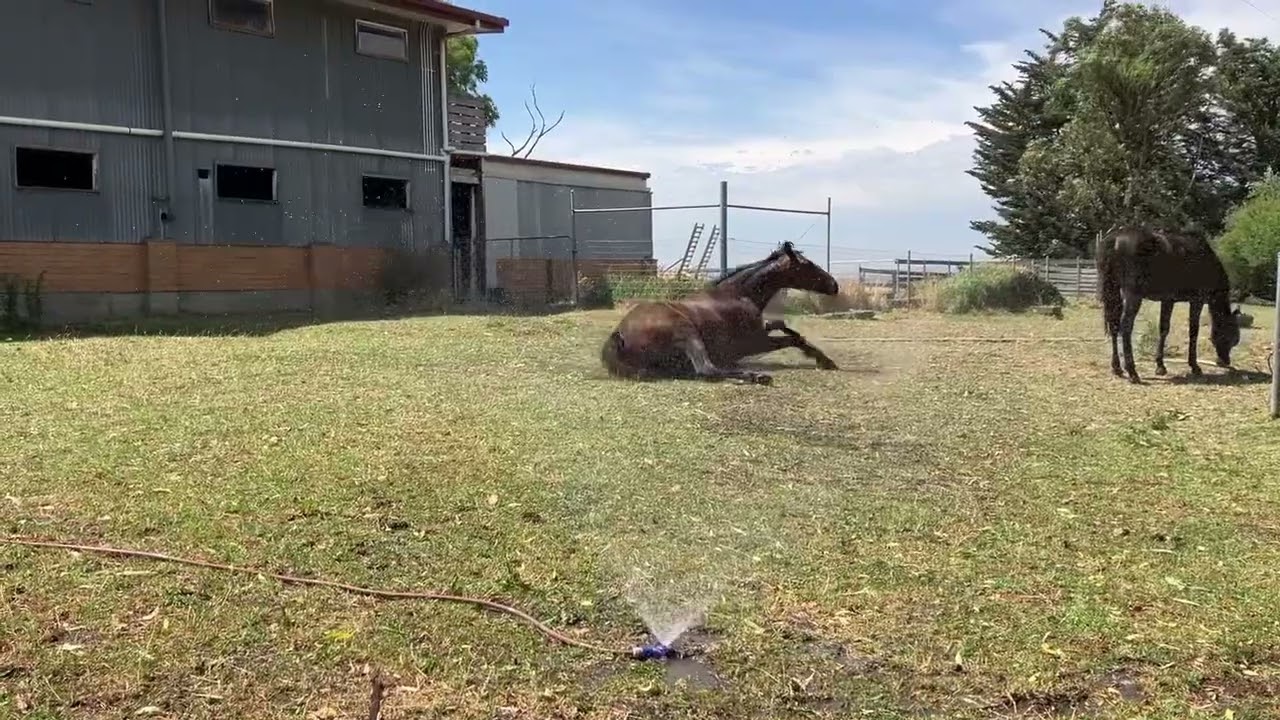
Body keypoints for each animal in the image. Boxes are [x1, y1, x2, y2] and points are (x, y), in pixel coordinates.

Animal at [600, 241, 840, 385]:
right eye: (808, 265)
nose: (834, 285)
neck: (738, 295)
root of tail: (618, 336)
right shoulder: (754, 343)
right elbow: (791, 339)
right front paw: (825, 360)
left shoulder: (760, 331)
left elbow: (782, 325)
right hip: (687, 332)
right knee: (707, 370)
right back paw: (756, 376)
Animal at [1096, 225, 1242, 383]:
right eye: (1232, 335)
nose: (1225, 361)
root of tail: (1114, 239)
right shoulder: (1196, 300)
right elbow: (1193, 331)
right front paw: (1194, 366)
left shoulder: (1167, 300)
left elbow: (1163, 329)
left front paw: (1160, 366)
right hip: (1133, 295)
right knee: (1126, 327)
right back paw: (1132, 372)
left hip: (1113, 289)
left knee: (1114, 325)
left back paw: (1117, 368)